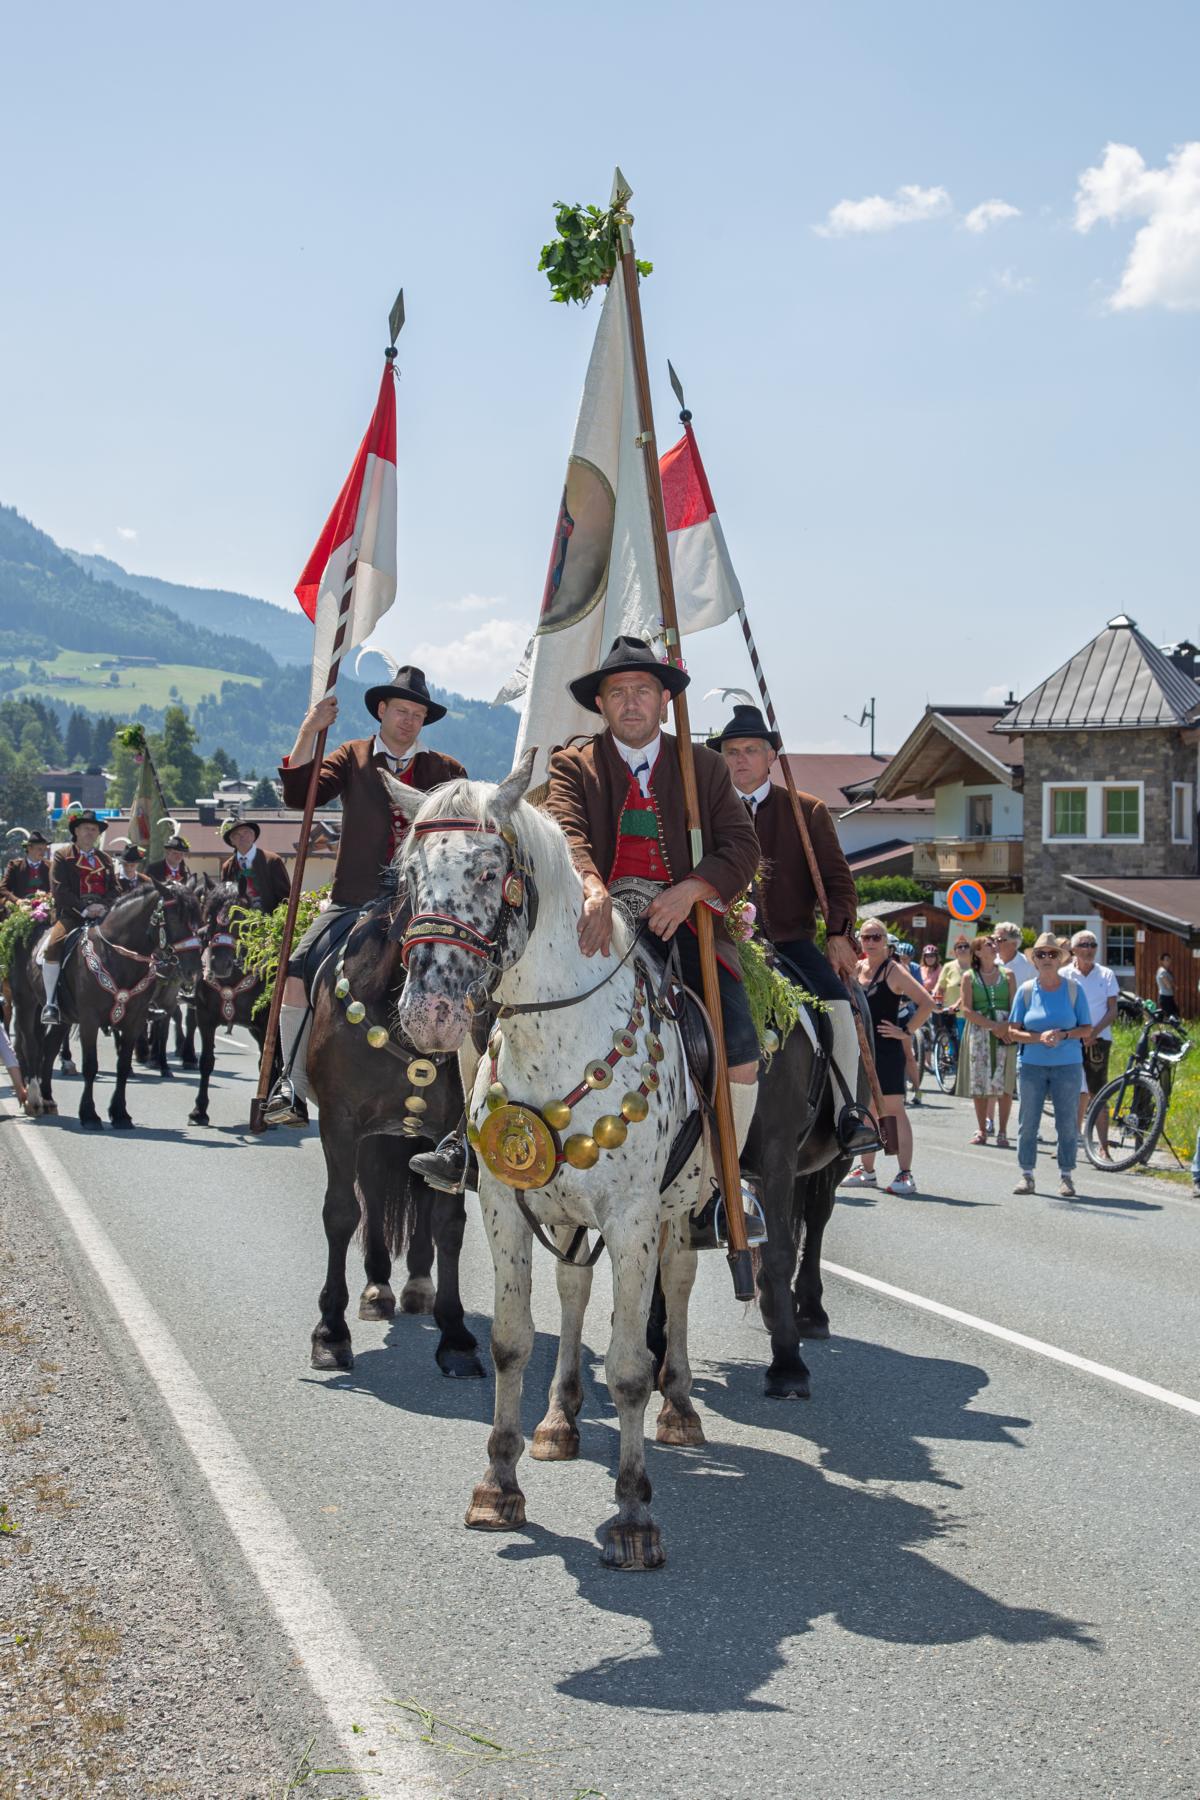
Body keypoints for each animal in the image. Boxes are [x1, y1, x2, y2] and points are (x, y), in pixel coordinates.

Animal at [14, 882, 204, 1129]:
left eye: (199, 919)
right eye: (174, 918)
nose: (194, 970)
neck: (117, 954)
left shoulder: (134, 1021)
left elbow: (122, 1065)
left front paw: (120, 1113)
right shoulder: (89, 1020)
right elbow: (90, 1065)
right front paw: (89, 1115)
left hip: (63, 1018)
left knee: (49, 1048)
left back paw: (47, 1099)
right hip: (25, 1004)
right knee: (31, 1046)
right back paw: (34, 1099)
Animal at [303, 881, 485, 1382]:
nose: (442, 1012)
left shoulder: (448, 1132)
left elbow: (448, 1224)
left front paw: (455, 1338)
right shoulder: (340, 1125)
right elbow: (342, 1213)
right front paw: (330, 1334)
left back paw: (418, 1284)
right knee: (372, 1191)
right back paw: (378, 1288)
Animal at [392, 754, 708, 1572]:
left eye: (488, 868)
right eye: (410, 875)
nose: (429, 1011)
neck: (561, 1033)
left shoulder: (631, 1221)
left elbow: (628, 1367)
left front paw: (634, 1513)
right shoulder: (505, 1206)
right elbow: (511, 1342)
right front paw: (497, 1485)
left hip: (687, 1209)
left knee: (679, 1284)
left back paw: (681, 1405)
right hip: (566, 1216)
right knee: (572, 1288)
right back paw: (560, 1419)